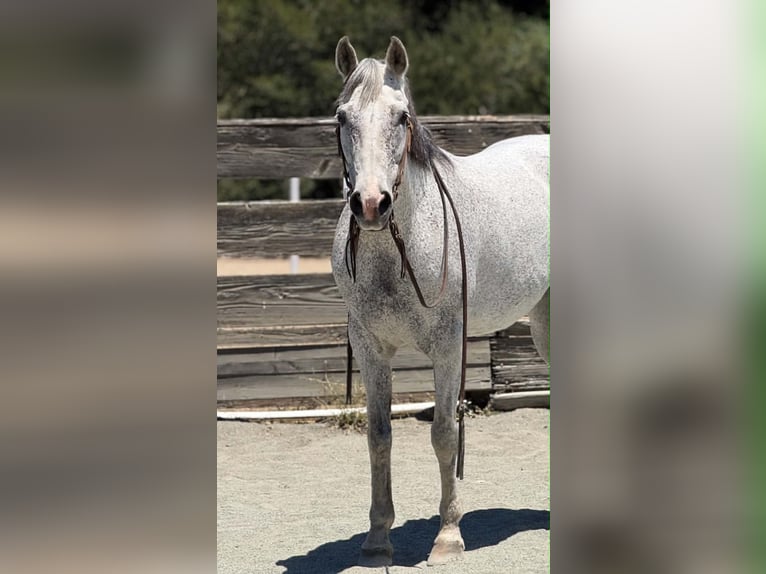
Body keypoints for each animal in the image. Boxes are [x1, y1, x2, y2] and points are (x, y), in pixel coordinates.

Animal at [331, 36, 550, 567]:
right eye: (342, 117)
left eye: (401, 117)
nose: (371, 204)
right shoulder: (369, 347)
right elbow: (379, 435)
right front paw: (377, 539)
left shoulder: (449, 347)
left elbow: (445, 434)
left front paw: (448, 536)